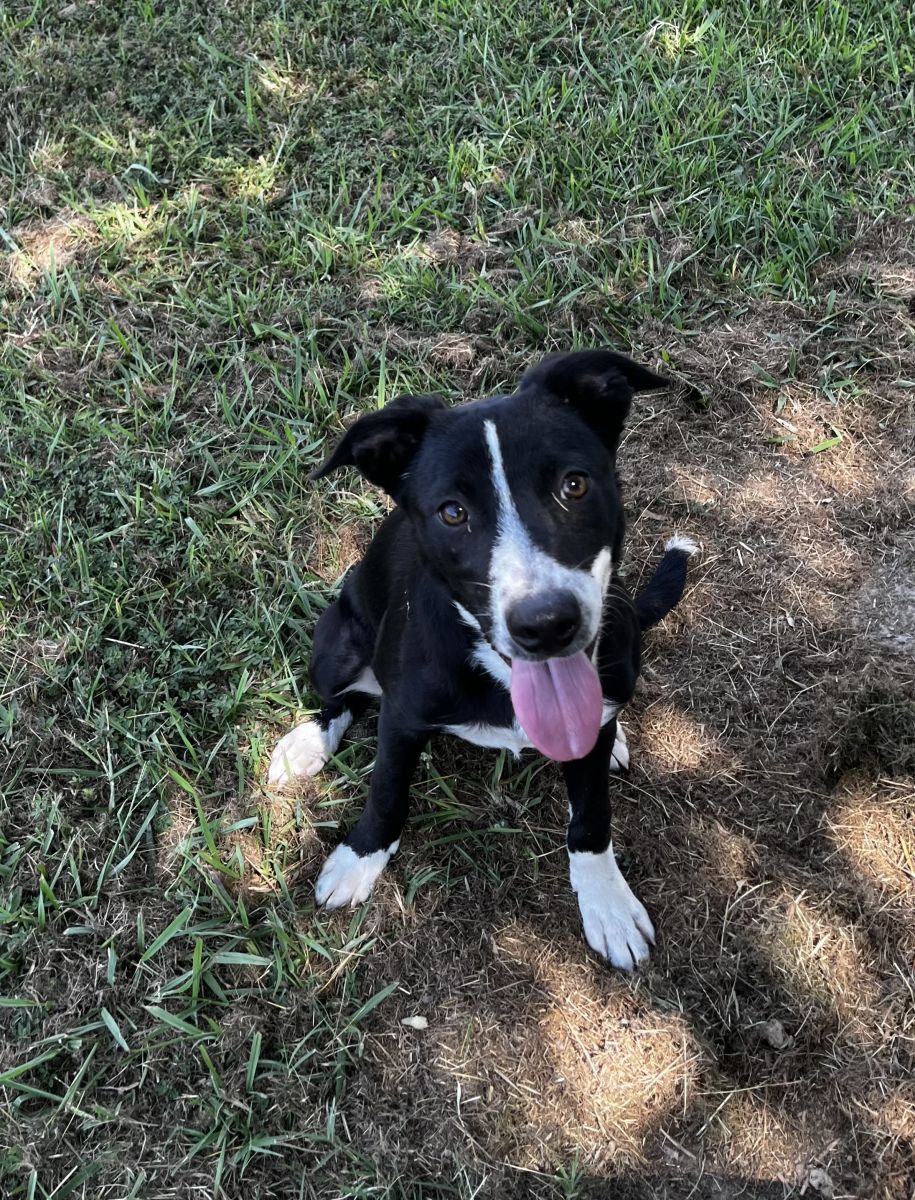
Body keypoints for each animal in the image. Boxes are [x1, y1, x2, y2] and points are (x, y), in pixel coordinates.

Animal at [267, 350, 696, 969]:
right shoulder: (402, 719)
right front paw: (358, 860)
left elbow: (592, 818)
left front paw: (607, 904)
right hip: (336, 644)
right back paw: (307, 742)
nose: (547, 624)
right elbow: (387, 792)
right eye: (452, 512)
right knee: (344, 696)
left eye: (574, 484)